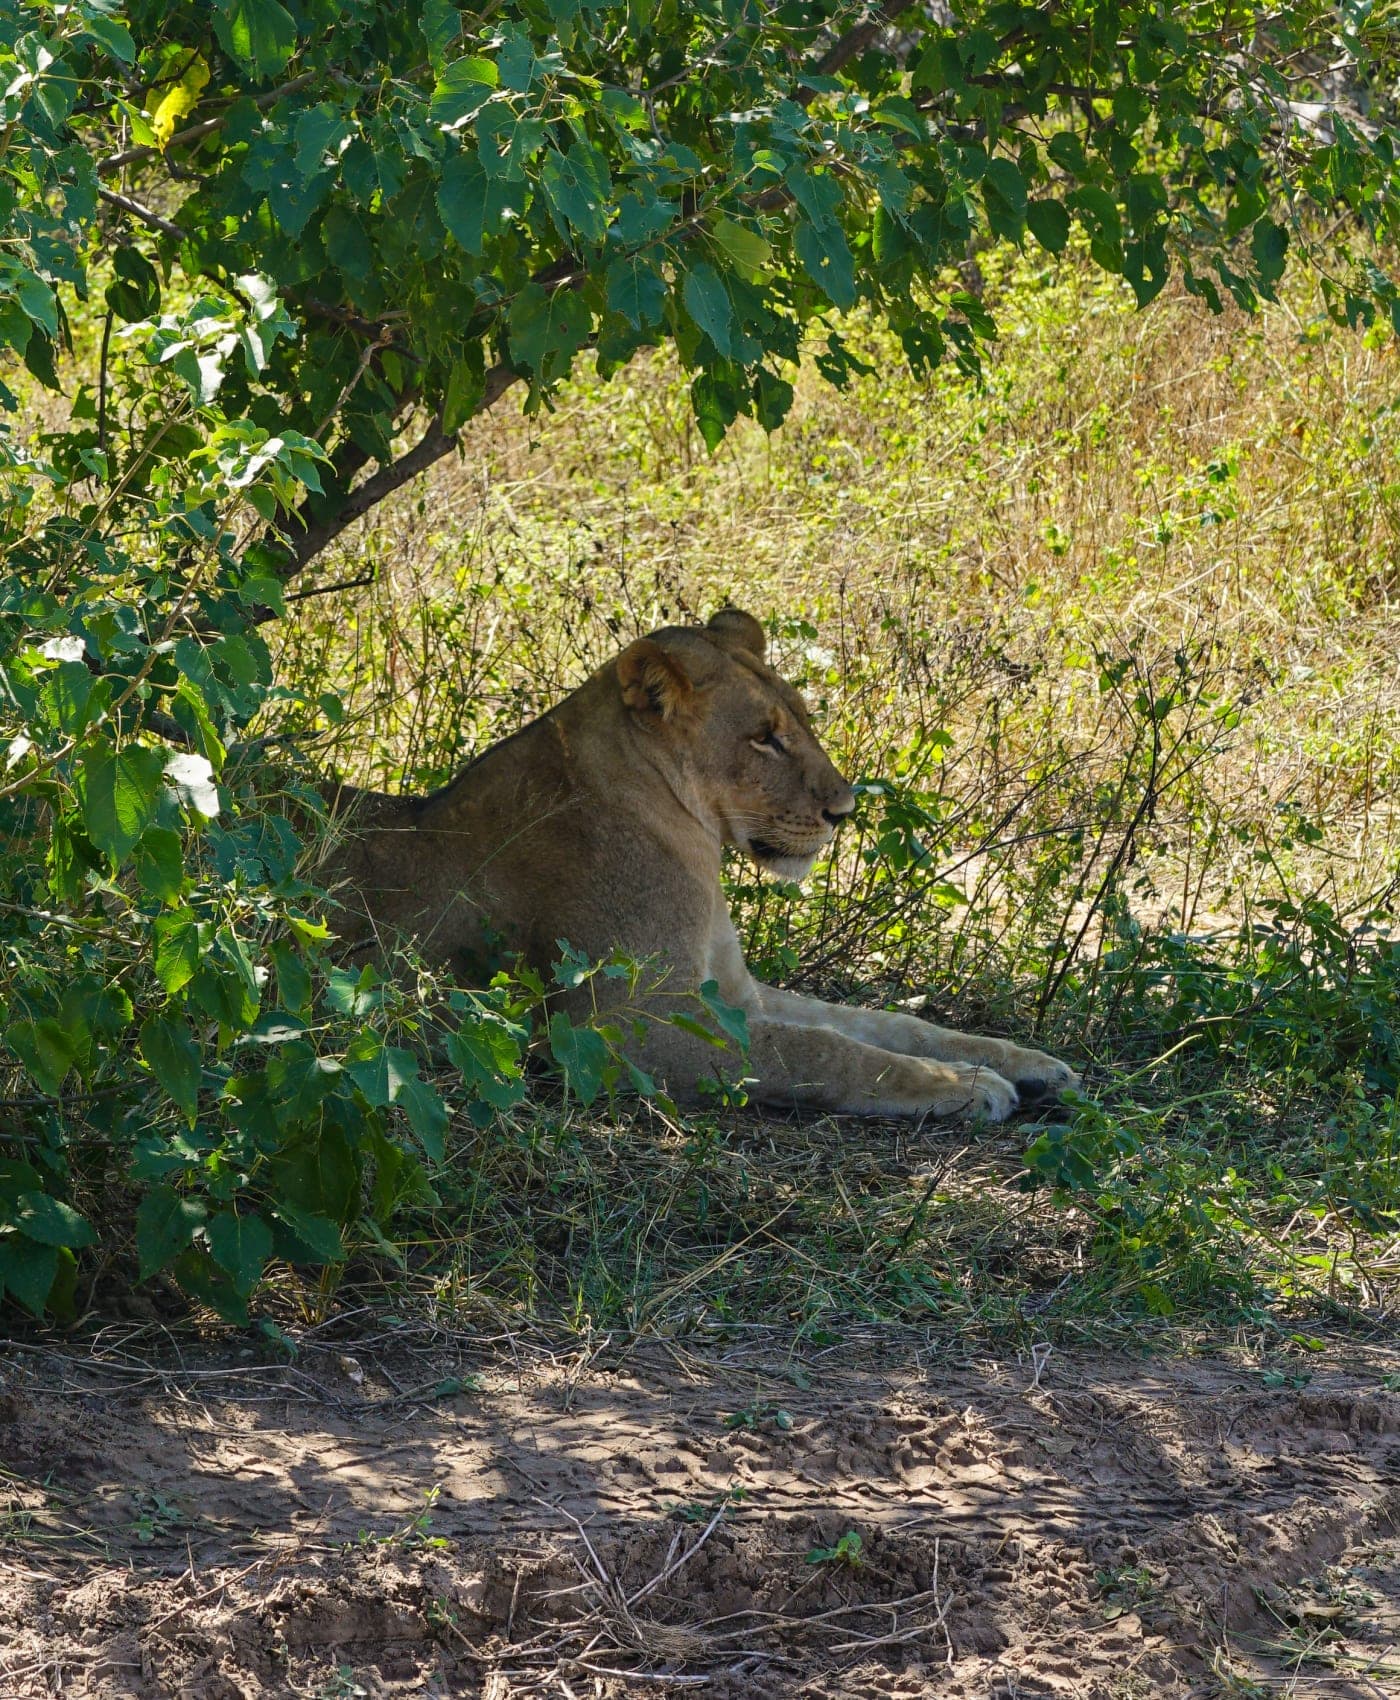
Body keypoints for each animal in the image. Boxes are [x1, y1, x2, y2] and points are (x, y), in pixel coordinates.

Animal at [330, 609, 1078, 1121]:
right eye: (764, 738)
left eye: (804, 721)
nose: (844, 810)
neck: (693, 838)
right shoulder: (629, 1029)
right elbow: (821, 1052)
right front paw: (969, 1087)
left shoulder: (735, 994)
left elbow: (886, 1024)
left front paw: (1033, 1065)